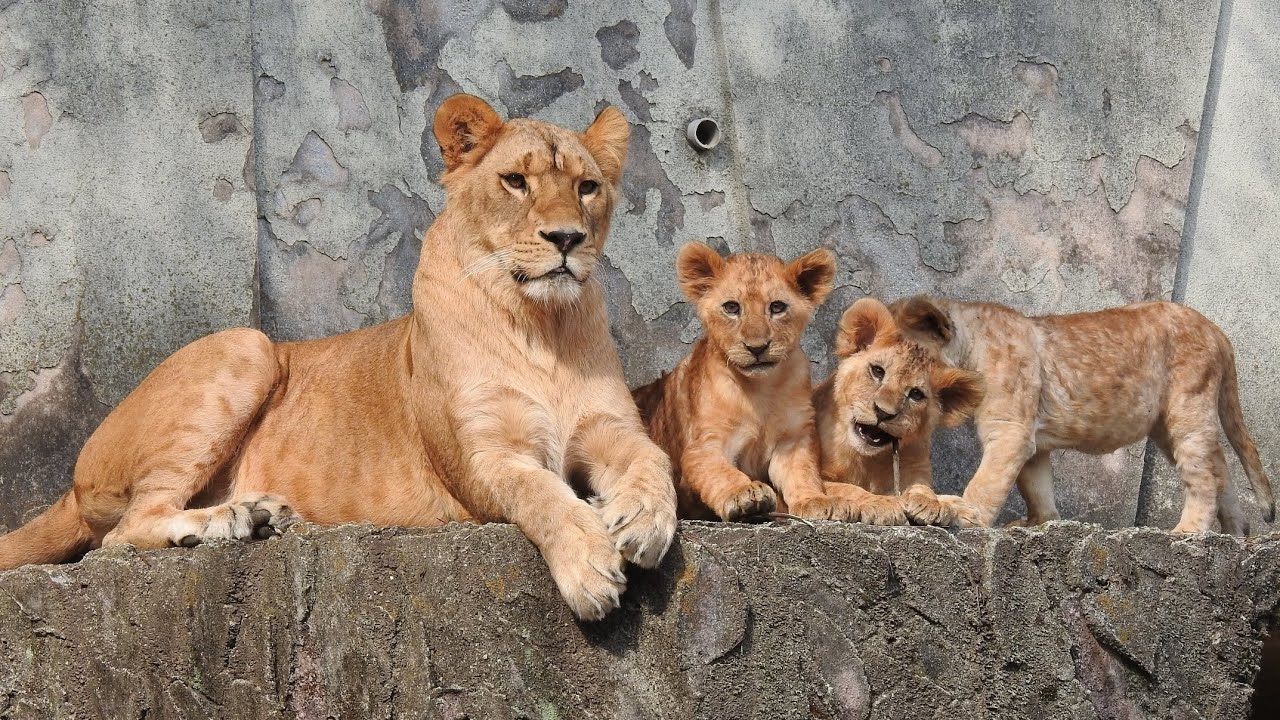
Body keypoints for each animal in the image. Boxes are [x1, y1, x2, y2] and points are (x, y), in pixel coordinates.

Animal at [0, 95, 678, 621]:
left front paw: (641, 519)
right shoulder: (484, 460)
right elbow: (542, 495)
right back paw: (230, 521)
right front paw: (590, 566)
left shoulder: (612, 427)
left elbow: (656, 462)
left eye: (587, 188)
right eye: (516, 181)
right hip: (246, 344)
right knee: (123, 532)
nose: (567, 239)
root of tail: (71, 483)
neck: (543, 328)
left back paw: (257, 514)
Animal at [632, 242, 860, 522]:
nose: (757, 347)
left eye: (777, 307)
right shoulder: (703, 446)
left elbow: (803, 473)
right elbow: (721, 472)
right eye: (731, 307)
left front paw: (817, 500)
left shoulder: (793, 439)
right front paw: (744, 494)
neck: (760, 389)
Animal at [813, 298, 985, 526]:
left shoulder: (915, 467)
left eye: (916, 394)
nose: (883, 413)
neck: (868, 461)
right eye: (877, 371)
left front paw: (931, 503)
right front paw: (881, 503)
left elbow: (923, 488)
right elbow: (847, 488)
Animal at [892, 296, 1274, 534]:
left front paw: (965, 516)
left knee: (1204, 475)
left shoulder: (1010, 431)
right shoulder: (1032, 441)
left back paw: (1189, 531)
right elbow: (1037, 486)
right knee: (1220, 466)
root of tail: (1217, 331)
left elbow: (985, 484)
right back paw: (1234, 534)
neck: (970, 344)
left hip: (1188, 406)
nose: (885, 409)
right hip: (1167, 424)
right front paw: (1040, 522)